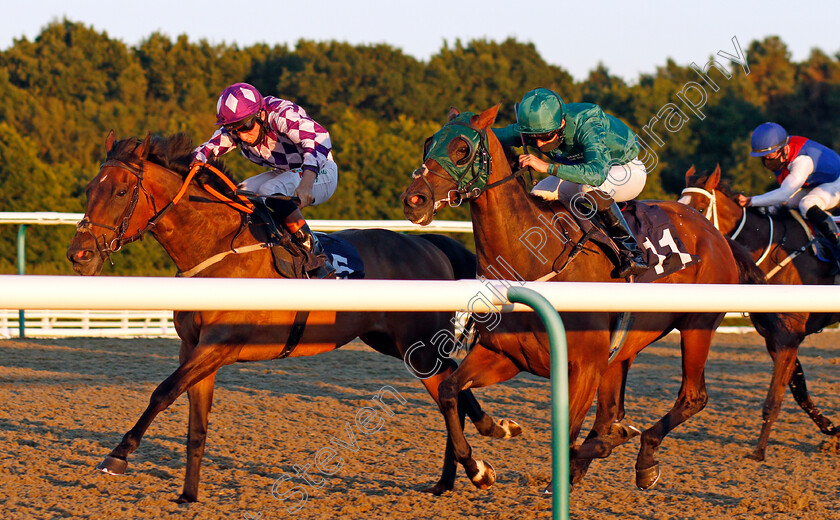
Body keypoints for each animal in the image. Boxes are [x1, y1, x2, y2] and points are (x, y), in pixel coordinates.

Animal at [65, 131, 520, 504]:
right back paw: (469, 457)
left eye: (121, 191)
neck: (217, 249)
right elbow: (196, 425)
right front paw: (188, 496)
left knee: (448, 392)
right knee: (451, 388)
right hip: (396, 344)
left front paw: (118, 455)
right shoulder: (194, 350)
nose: (79, 254)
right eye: (89, 189)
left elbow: (161, 393)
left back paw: (476, 468)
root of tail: (429, 244)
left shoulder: (218, 346)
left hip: (418, 344)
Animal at [400, 104, 768, 492]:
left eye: (462, 149)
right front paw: (479, 466)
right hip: (625, 349)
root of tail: (715, 234)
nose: (414, 200)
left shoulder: (584, 367)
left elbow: (570, 436)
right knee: (611, 411)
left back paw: (642, 458)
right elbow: (449, 391)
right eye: (428, 144)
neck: (533, 260)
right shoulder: (502, 356)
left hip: (698, 326)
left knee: (692, 397)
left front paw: (608, 444)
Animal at [680, 166, 840, 460]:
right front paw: (833, 431)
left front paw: (759, 451)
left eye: (699, 208)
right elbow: (799, 391)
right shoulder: (773, 339)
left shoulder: (789, 337)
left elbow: (774, 397)